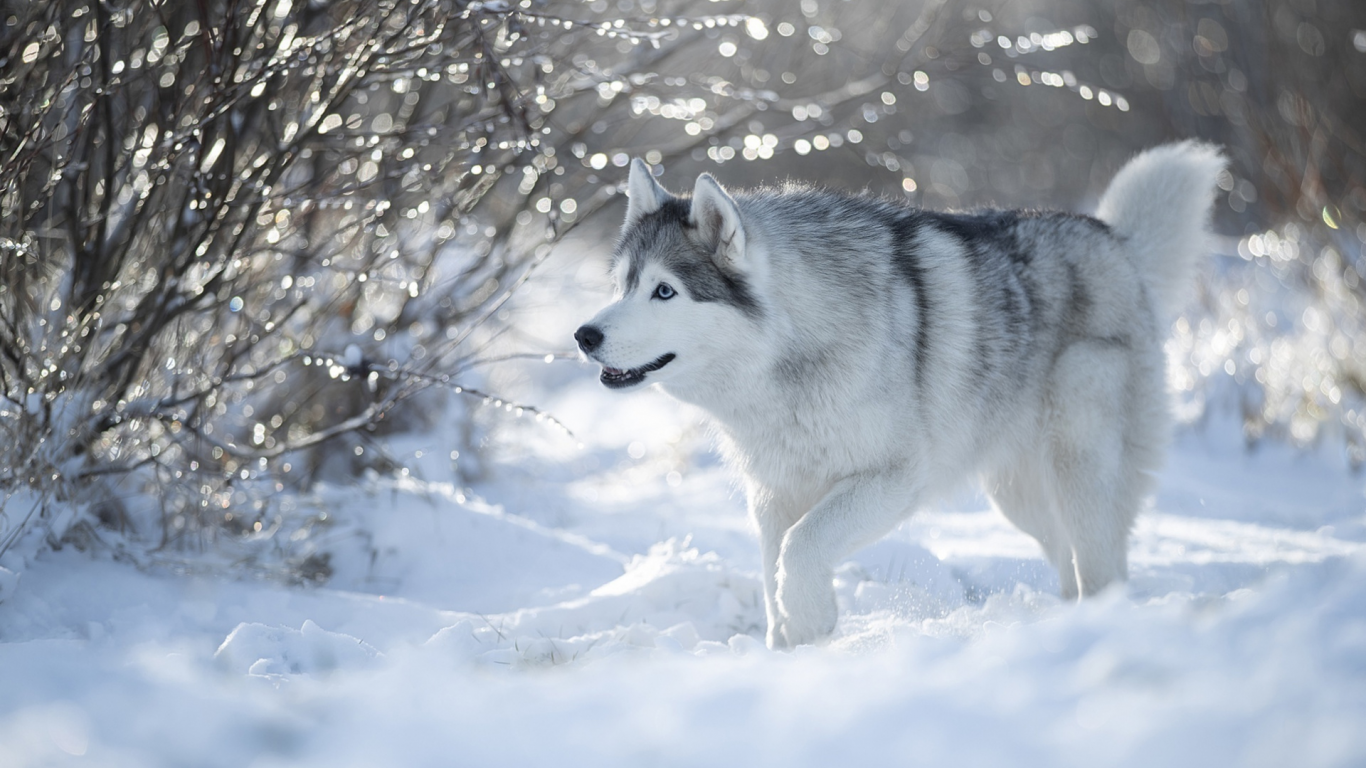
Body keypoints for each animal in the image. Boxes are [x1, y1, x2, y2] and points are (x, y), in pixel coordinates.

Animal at [576, 143, 1229, 645]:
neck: (794, 350)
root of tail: (1117, 241)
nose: (584, 335)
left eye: (665, 291)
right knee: (1069, 565)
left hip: (1077, 469)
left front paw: (812, 622)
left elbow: (801, 549)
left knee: (1102, 569)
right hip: (1018, 498)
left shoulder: (891, 480)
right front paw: (790, 651)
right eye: (623, 286)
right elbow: (773, 570)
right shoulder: (774, 495)